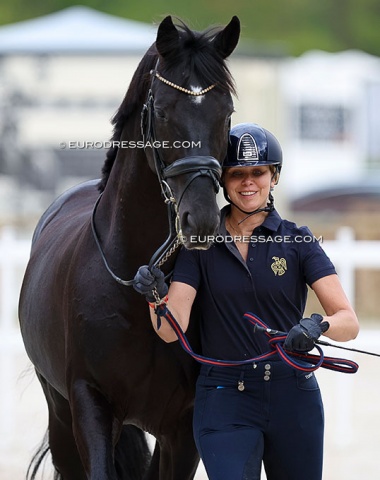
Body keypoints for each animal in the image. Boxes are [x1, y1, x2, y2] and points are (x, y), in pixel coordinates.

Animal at [19, 15, 239, 480]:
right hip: (59, 415)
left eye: (226, 113)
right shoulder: (90, 405)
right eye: (162, 111)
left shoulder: (182, 425)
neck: (141, 282)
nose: (201, 220)